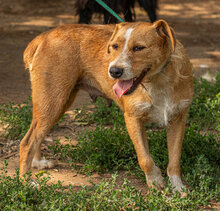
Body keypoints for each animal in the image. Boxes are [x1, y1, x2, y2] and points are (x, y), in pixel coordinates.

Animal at [19, 0, 194, 196]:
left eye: (139, 48)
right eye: (114, 46)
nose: (114, 71)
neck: (159, 80)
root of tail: (43, 37)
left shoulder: (178, 119)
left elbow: (174, 160)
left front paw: (178, 187)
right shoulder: (132, 119)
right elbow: (145, 159)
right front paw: (155, 181)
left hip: (57, 104)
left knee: (36, 134)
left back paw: (37, 163)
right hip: (53, 102)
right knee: (27, 142)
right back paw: (26, 182)